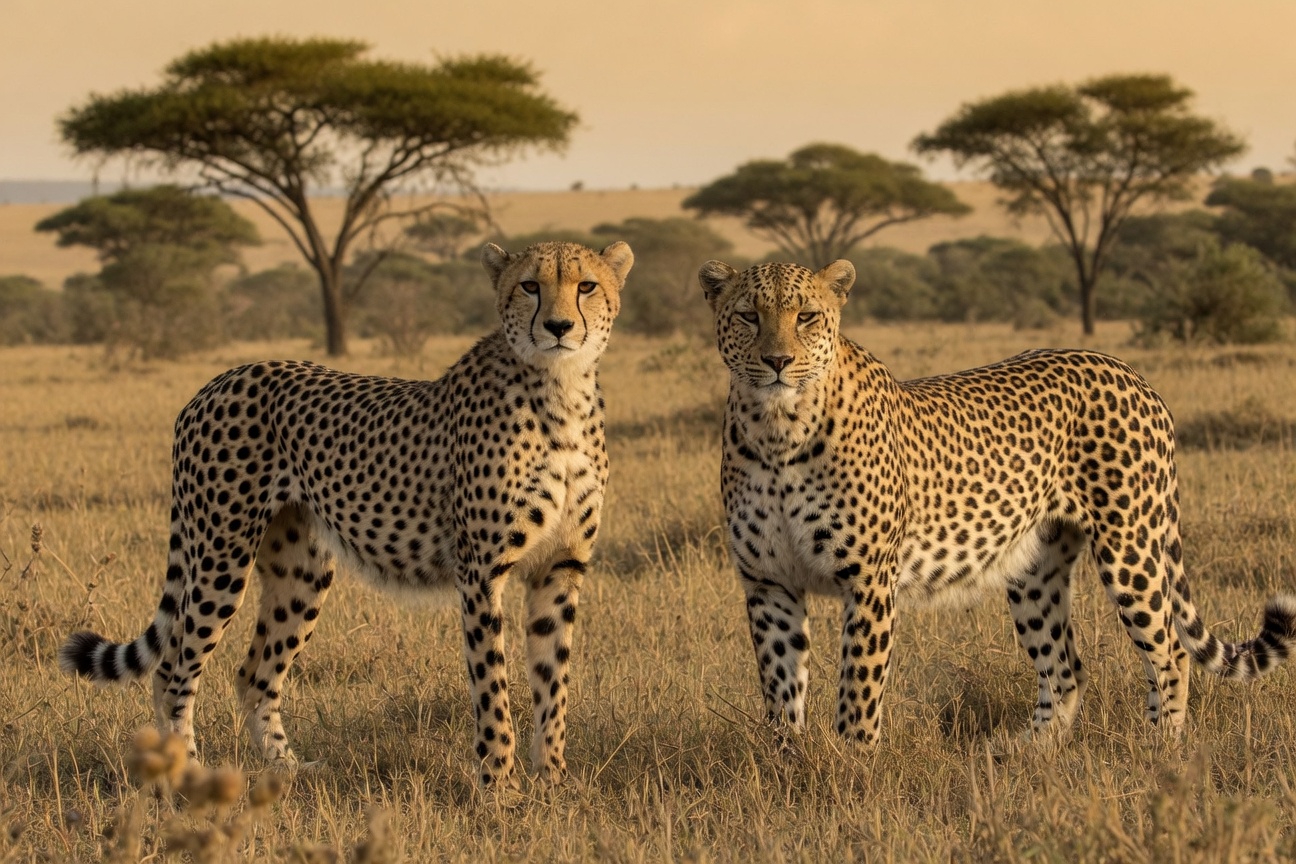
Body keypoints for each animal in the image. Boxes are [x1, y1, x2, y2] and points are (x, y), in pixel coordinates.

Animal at [59, 239, 634, 788]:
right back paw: (188, 774)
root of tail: (219, 380)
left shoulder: (559, 569)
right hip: (221, 553)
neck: (561, 391)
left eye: (586, 286)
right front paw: (499, 786)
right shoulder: (481, 573)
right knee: (174, 670)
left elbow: (552, 681)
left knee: (254, 674)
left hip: (301, 573)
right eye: (530, 286)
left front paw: (553, 778)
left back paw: (288, 769)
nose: (558, 327)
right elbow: (492, 685)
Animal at [699, 256, 1296, 747]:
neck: (778, 429)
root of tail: (1128, 370)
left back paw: (1160, 749)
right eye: (749, 315)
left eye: (806, 316)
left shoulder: (868, 582)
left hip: (1131, 546)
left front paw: (849, 772)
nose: (777, 361)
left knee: (1169, 649)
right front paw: (787, 764)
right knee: (1065, 667)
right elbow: (781, 689)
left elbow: (858, 693)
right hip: (1035, 568)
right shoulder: (769, 582)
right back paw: (1026, 755)